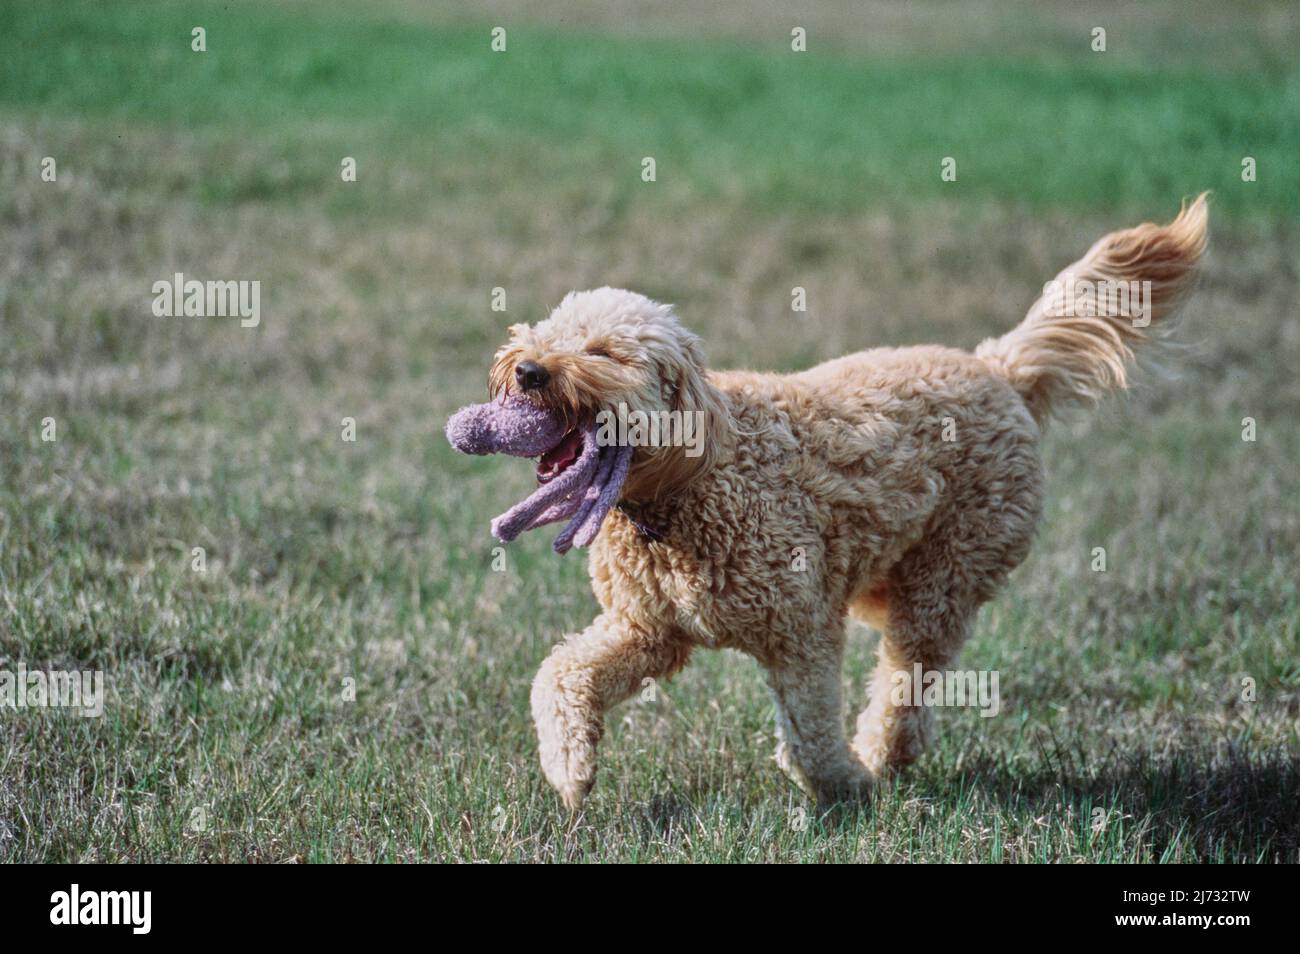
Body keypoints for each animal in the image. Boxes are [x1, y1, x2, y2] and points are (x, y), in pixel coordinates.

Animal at [444, 194, 1206, 805]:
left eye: (603, 350)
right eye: (544, 333)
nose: (528, 369)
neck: (687, 491)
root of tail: (999, 368)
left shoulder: (803, 630)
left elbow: (809, 730)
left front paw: (842, 786)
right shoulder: (648, 630)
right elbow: (563, 674)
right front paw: (569, 769)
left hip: (948, 571)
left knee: (907, 678)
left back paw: (879, 759)